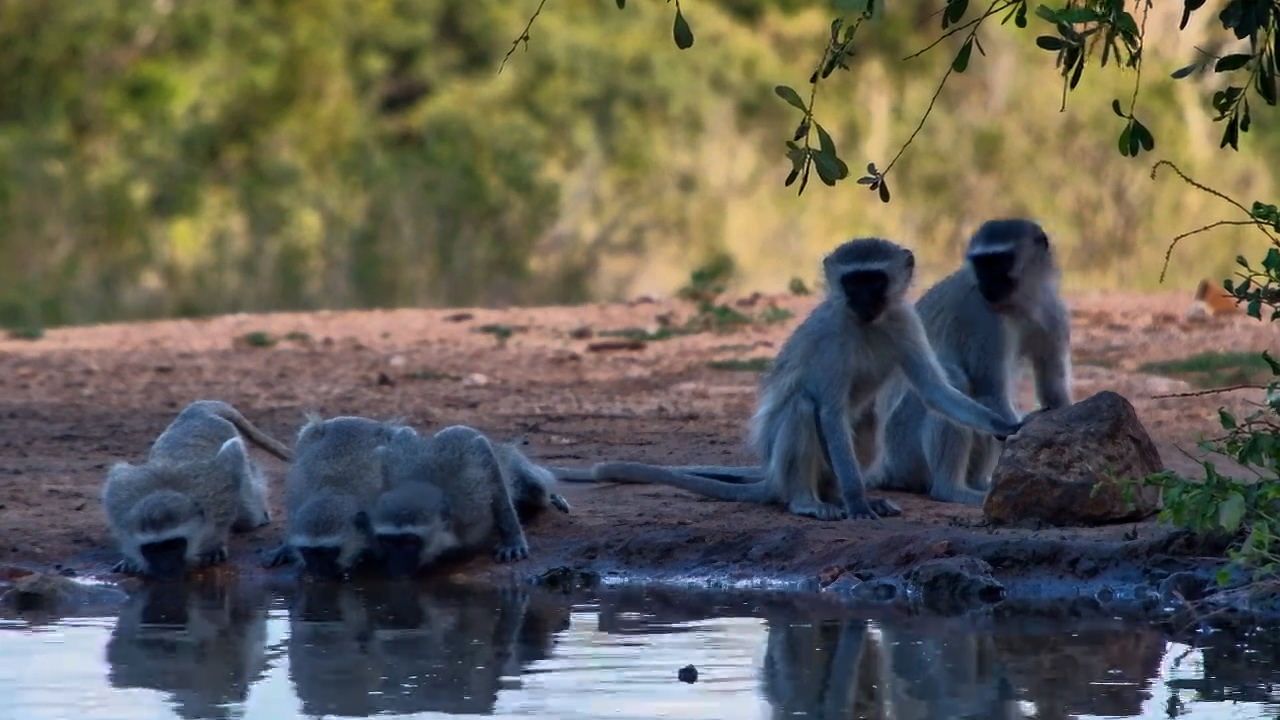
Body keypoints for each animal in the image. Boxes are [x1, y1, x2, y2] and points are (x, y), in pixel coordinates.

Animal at [262, 413, 405, 579]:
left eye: (327, 552)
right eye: (308, 552)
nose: (317, 572)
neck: (335, 490)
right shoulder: (297, 499)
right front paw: (285, 547)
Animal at [370, 425, 556, 578]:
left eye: (410, 541)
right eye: (387, 541)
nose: (396, 568)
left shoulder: (471, 504)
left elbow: (482, 450)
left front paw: (513, 540)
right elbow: (388, 449)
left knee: (535, 487)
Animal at [550, 237, 1023, 521]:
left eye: (874, 280)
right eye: (852, 282)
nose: (863, 300)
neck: (867, 324)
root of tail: (773, 478)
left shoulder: (904, 321)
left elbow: (936, 391)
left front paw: (1008, 425)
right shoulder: (833, 338)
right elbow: (828, 411)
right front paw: (857, 503)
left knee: (865, 420)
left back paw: (832, 496)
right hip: (787, 461)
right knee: (802, 408)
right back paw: (810, 502)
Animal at [869, 218, 1071, 505]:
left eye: (998, 262)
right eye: (981, 263)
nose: (986, 283)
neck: (1021, 302)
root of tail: (886, 464)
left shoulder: (1052, 314)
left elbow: (1054, 396)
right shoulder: (982, 317)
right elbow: (992, 393)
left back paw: (978, 483)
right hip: (902, 448)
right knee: (957, 381)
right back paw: (951, 489)